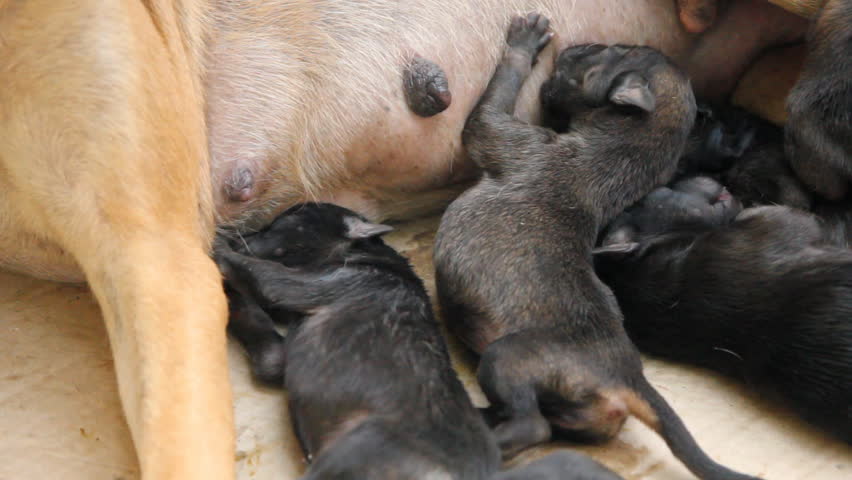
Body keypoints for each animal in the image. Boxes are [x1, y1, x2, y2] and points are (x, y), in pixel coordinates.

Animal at [216, 202, 624, 480]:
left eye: (286, 222)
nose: (240, 232)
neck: (364, 253)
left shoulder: (299, 285)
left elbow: (252, 274)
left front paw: (217, 248)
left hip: (354, 447)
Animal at [432, 11, 760, 480]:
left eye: (616, 50)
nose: (577, 45)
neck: (620, 152)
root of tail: (628, 379)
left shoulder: (502, 133)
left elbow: (497, 94)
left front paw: (524, 41)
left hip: (505, 356)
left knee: (531, 427)